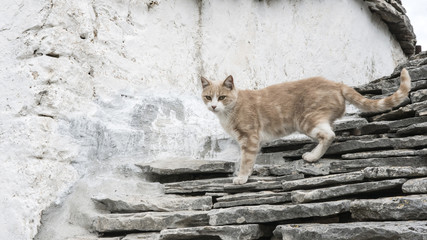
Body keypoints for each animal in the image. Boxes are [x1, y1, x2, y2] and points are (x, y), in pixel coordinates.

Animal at [201, 68, 412, 185]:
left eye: (222, 97)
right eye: (208, 97)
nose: (213, 106)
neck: (229, 111)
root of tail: (336, 83)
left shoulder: (249, 138)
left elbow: (245, 161)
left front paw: (241, 177)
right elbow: (246, 160)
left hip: (307, 120)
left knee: (329, 135)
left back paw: (311, 156)